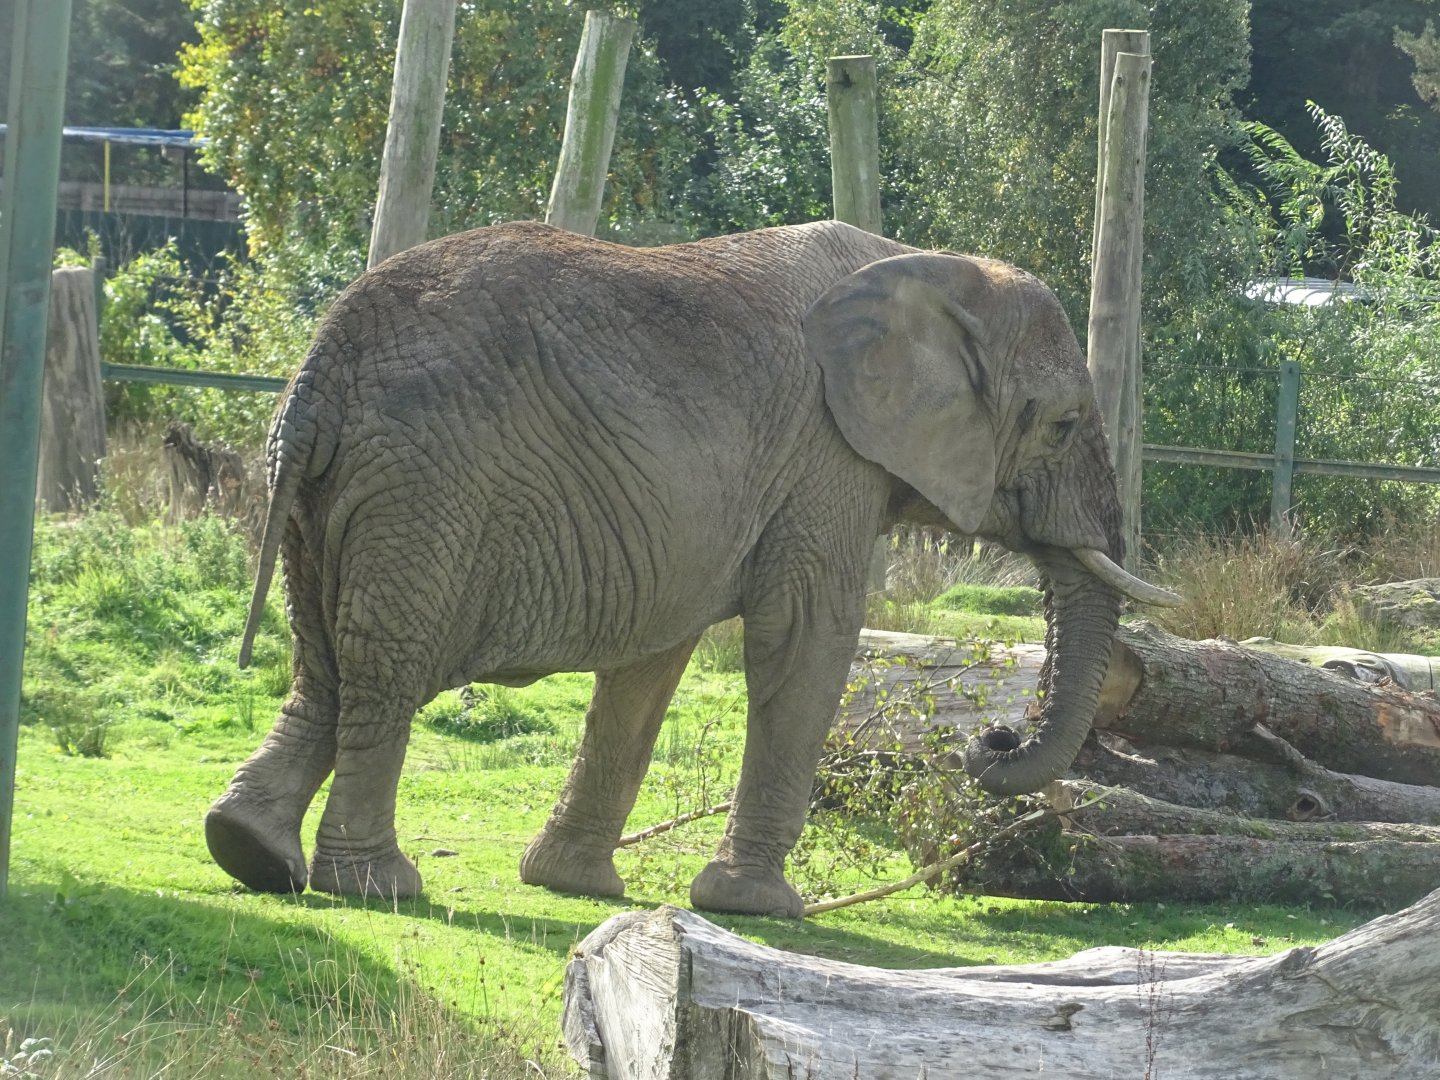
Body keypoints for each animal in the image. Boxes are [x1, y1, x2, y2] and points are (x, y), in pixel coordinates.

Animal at [206, 219, 1177, 917]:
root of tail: (318, 371)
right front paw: (760, 908)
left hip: (333, 494)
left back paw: (248, 852)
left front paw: (575, 886)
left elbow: (653, 659)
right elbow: (807, 638)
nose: (993, 741)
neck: (933, 267)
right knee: (388, 671)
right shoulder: (827, 458)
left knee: (325, 663)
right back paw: (379, 886)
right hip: (423, 488)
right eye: (1059, 425)